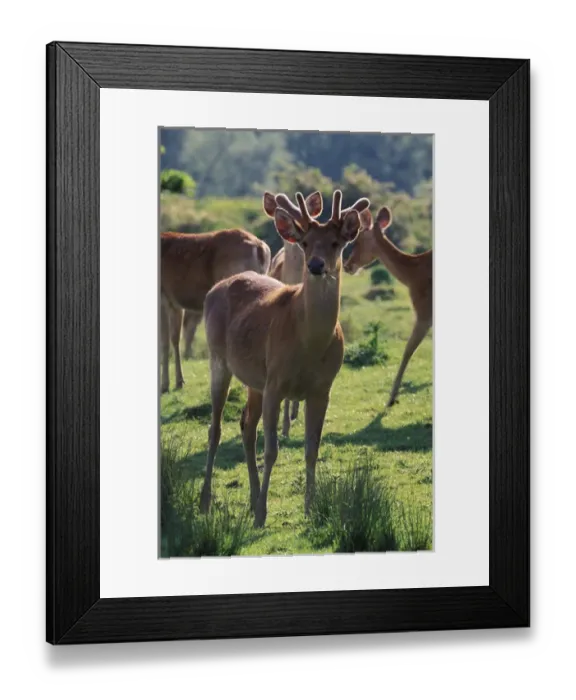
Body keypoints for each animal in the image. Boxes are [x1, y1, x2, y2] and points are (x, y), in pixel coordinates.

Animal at [161, 229, 271, 393]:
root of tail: (260, 248)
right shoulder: (175, 303)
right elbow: (175, 339)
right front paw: (179, 382)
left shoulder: (162, 297)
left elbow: (164, 342)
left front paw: (164, 385)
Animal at [200, 190, 370, 528]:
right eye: (304, 242)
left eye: (336, 242)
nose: (316, 265)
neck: (308, 344)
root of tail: (215, 289)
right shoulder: (276, 381)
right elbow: (272, 450)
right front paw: (262, 515)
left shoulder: (322, 388)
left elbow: (311, 449)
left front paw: (311, 508)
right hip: (218, 358)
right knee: (215, 429)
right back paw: (206, 501)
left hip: (255, 379)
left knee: (246, 426)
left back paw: (252, 497)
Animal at [343, 205, 432, 408]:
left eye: (357, 240)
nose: (347, 265)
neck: (412, 276)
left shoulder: (424, 312)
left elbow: (408, 349)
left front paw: (391, 399)